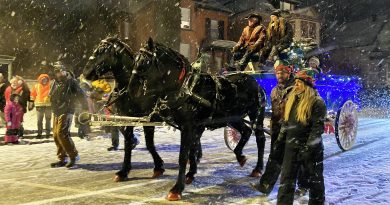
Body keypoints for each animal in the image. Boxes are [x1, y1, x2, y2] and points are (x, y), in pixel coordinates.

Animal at [129, 38, 266, 200]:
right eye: (135, 59)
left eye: (146, 61)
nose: (131, 90)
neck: (186, 88)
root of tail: (253, 81)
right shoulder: (194, 127)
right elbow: (193, 150)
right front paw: (190, 174)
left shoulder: (188, 126)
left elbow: (183, 156)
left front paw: (176, 189)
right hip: (233, 117)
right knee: (246, 131)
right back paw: (240, 156)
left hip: (255, 113)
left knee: (260, 138)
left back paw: (258, 168)